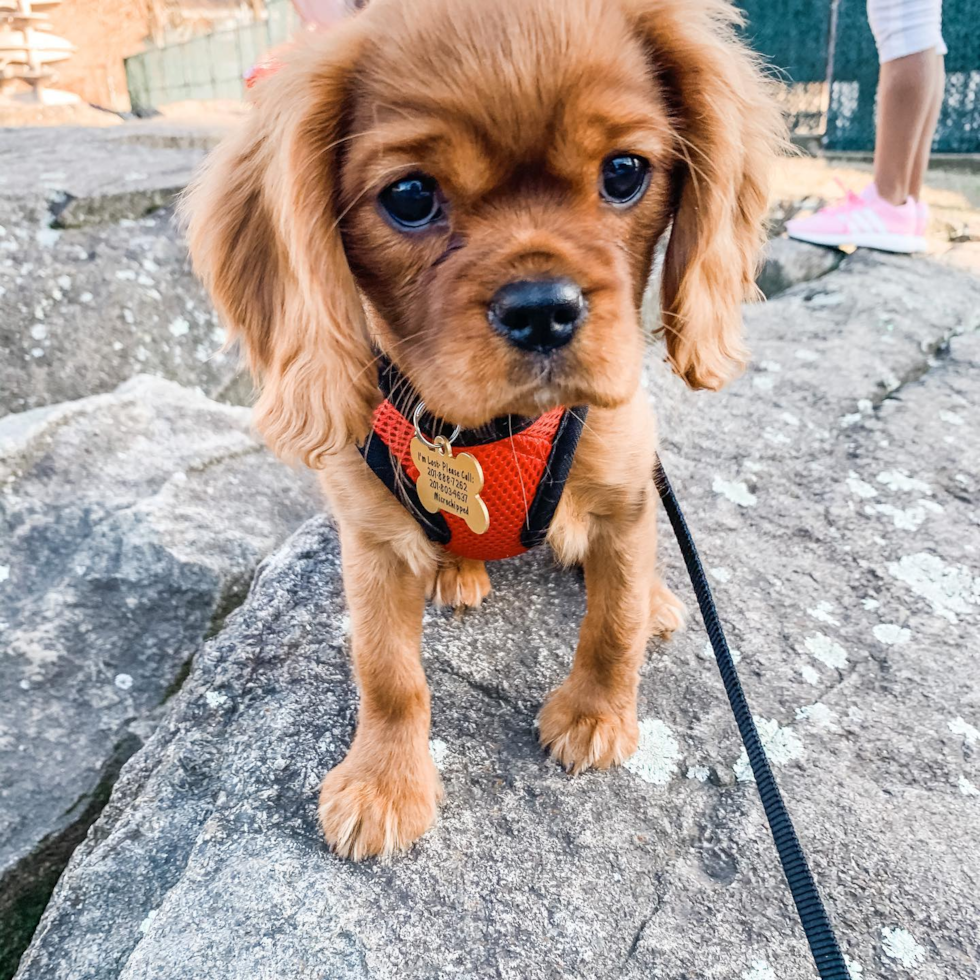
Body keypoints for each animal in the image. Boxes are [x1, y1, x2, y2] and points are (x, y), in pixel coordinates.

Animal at [182, 0, 780, 856]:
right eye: (409, 195)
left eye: (624, 173)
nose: (543, 309)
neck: (489, 427)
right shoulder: (372, 546)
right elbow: (388, 673)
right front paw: (385, 781)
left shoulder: (626, 502)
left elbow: (614, 623)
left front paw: (596, 714)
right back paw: (459, 571)